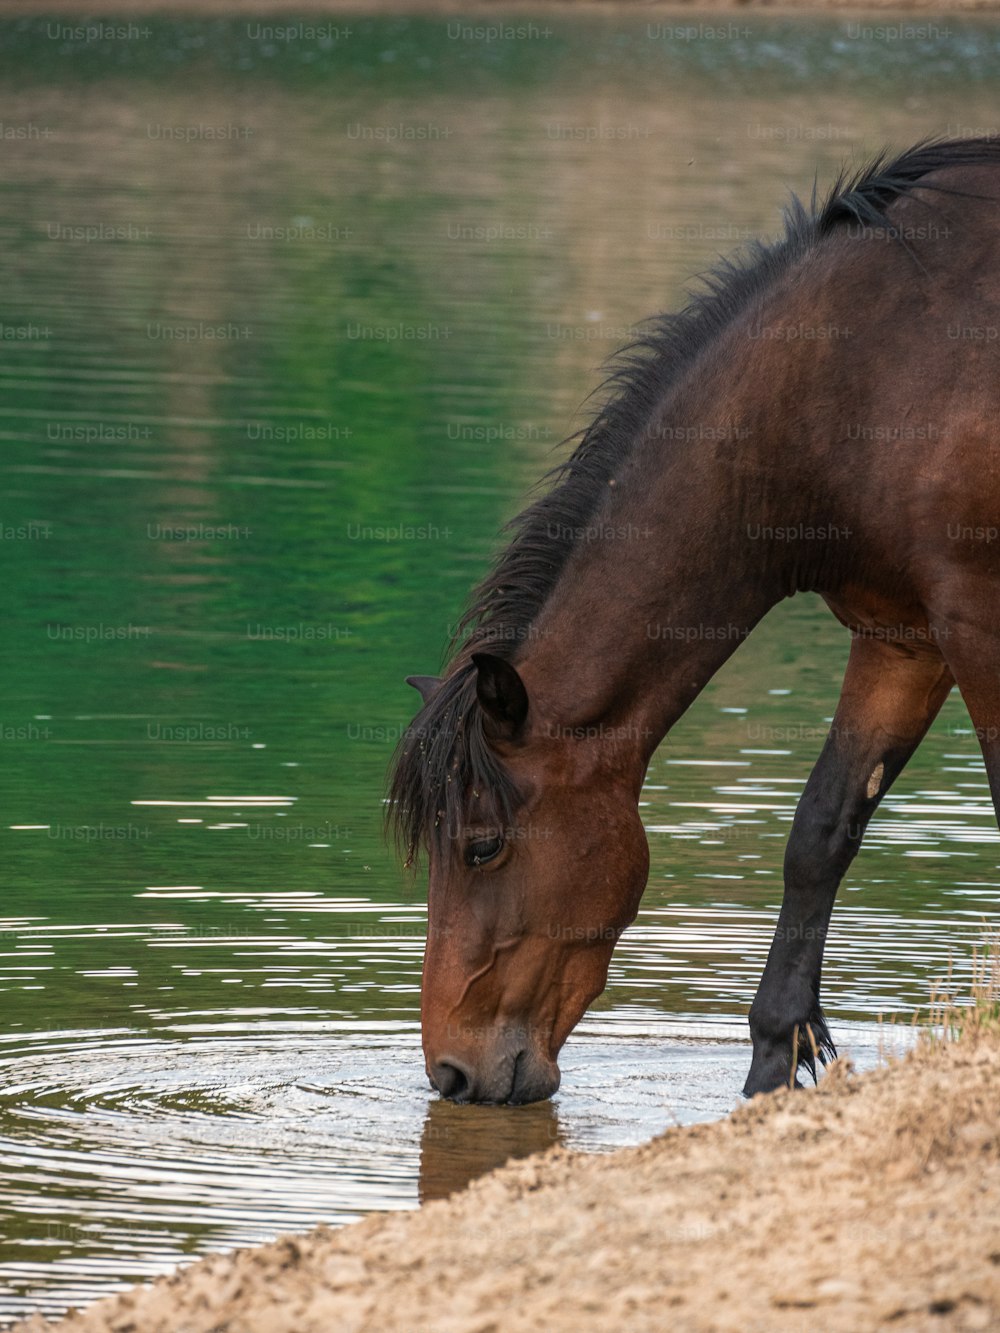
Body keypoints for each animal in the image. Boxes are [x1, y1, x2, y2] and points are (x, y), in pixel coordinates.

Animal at [389, 140, 1000, 1109]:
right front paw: (772, 1063)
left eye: (482, 847)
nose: (453, 1073)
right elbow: (820, 832)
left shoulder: (977, 621)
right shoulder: (903, 637)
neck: (864, 365)